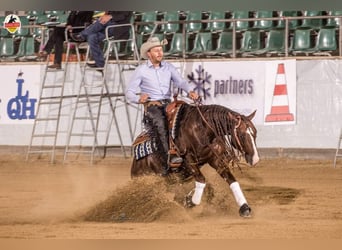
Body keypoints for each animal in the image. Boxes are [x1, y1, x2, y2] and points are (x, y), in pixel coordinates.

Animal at [131, 98, 260, 218]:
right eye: (242, 135)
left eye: (255, 133)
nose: (255, 159)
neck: (202, 130)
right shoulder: (189, 160)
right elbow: (201, 180)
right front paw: (189, 201)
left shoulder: (216, 160)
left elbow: (232, 180)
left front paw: (244, 208)